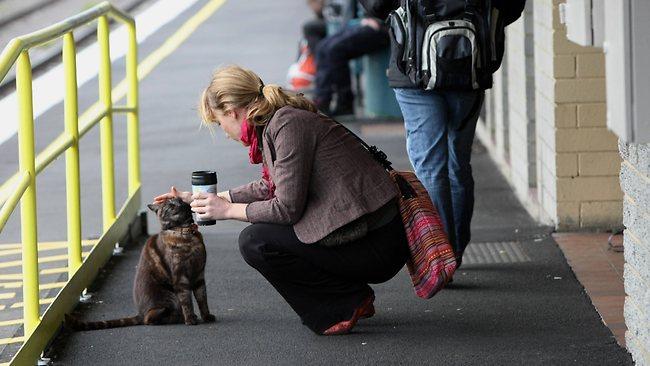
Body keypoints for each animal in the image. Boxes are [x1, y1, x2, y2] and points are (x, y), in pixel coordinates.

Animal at [67, 199, 216, 330]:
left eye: (179, 200)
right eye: (169, 206)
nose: (179, 204)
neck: (187, 236)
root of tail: (140, 313)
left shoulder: (199, 274)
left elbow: (202, 298)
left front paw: (206, 316)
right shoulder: (180, 277)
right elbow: (186, 300)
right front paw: (190, 319)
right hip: (169, 297)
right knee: (149, 319)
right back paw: (178, 317)